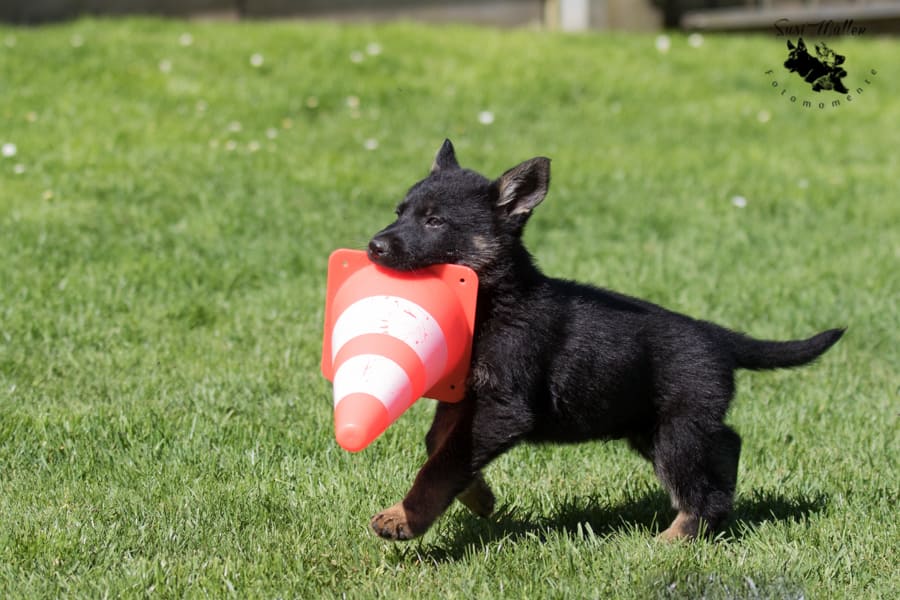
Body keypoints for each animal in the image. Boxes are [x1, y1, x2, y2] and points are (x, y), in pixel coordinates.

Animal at [365, 139, 844, 541]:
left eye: (434, 221)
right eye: (399, 212)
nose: (374, 246)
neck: (494, 300)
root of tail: (716, 336)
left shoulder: (503, 406)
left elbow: (443, 464)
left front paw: (403, 518)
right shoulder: (464, 399)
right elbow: (439, 447)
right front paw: (480, 497)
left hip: (677, 432)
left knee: (702, 483)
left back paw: (673, 540)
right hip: (655, 427)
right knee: (727, 446)